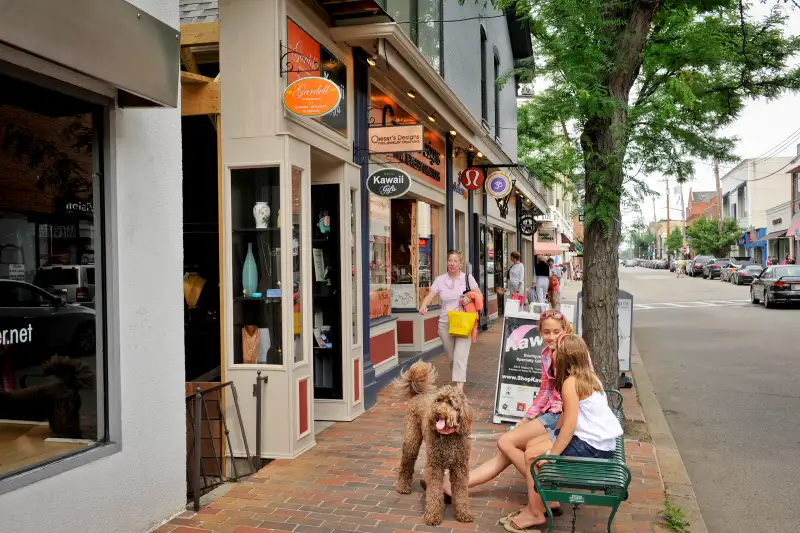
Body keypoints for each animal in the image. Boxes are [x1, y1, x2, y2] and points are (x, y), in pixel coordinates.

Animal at [396, 360, 472, 524]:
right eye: (438, 400)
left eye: (450, 402)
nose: (437, 412)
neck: (448, 437)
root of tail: (418, 394)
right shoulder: (435, 467)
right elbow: (434, 493)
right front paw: (433, 516)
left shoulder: (460, 468)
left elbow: (461, 494)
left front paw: (463, 514)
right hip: (412, 440)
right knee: (406, 464)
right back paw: (403, 486)